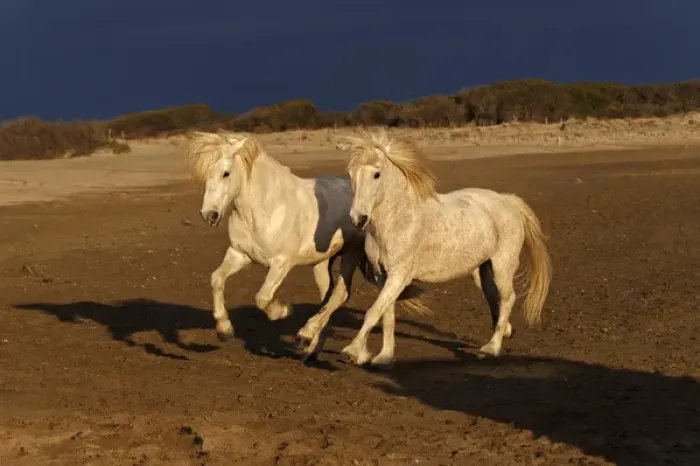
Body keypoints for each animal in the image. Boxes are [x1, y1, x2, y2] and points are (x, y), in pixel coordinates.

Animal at [183, 130, 427, 357]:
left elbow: (263, 297)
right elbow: (216, 279)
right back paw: (309, 345)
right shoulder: (239, 254)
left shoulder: (282, 263)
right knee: (327, 295)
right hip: (322, 262)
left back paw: (305, 338)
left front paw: (284, 311)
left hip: (351, 254)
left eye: (226, 173)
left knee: (340, 294)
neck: (266, 206)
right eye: (205, 174)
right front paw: (224, 329)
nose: (209, 215)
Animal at [321, 127, 552, 368]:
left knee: (508, 299)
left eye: (377, 174)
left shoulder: (399, 276)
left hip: (502, 265)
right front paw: (384, 356)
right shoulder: (382, 277)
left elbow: (374, 312)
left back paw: (491, 348)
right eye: (350, 174)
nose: (358, 219)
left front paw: (352, 351)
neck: (398, 221)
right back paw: (504, 331)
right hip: (484, 270)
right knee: (493, 297)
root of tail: (509, 200)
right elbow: (387, 315)